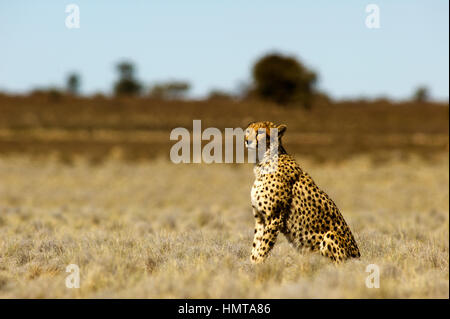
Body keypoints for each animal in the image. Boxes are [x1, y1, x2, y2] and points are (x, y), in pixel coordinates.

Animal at [244, 121, 360, 264]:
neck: (262, 162)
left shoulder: (274, 217)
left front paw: (258, 265)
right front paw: (251, 265)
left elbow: (263, 247)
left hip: (330, 235)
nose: (247, 141)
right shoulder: (260, 218)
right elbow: (256, 247)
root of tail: (359, 256)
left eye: (260, 132)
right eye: (247, 131)